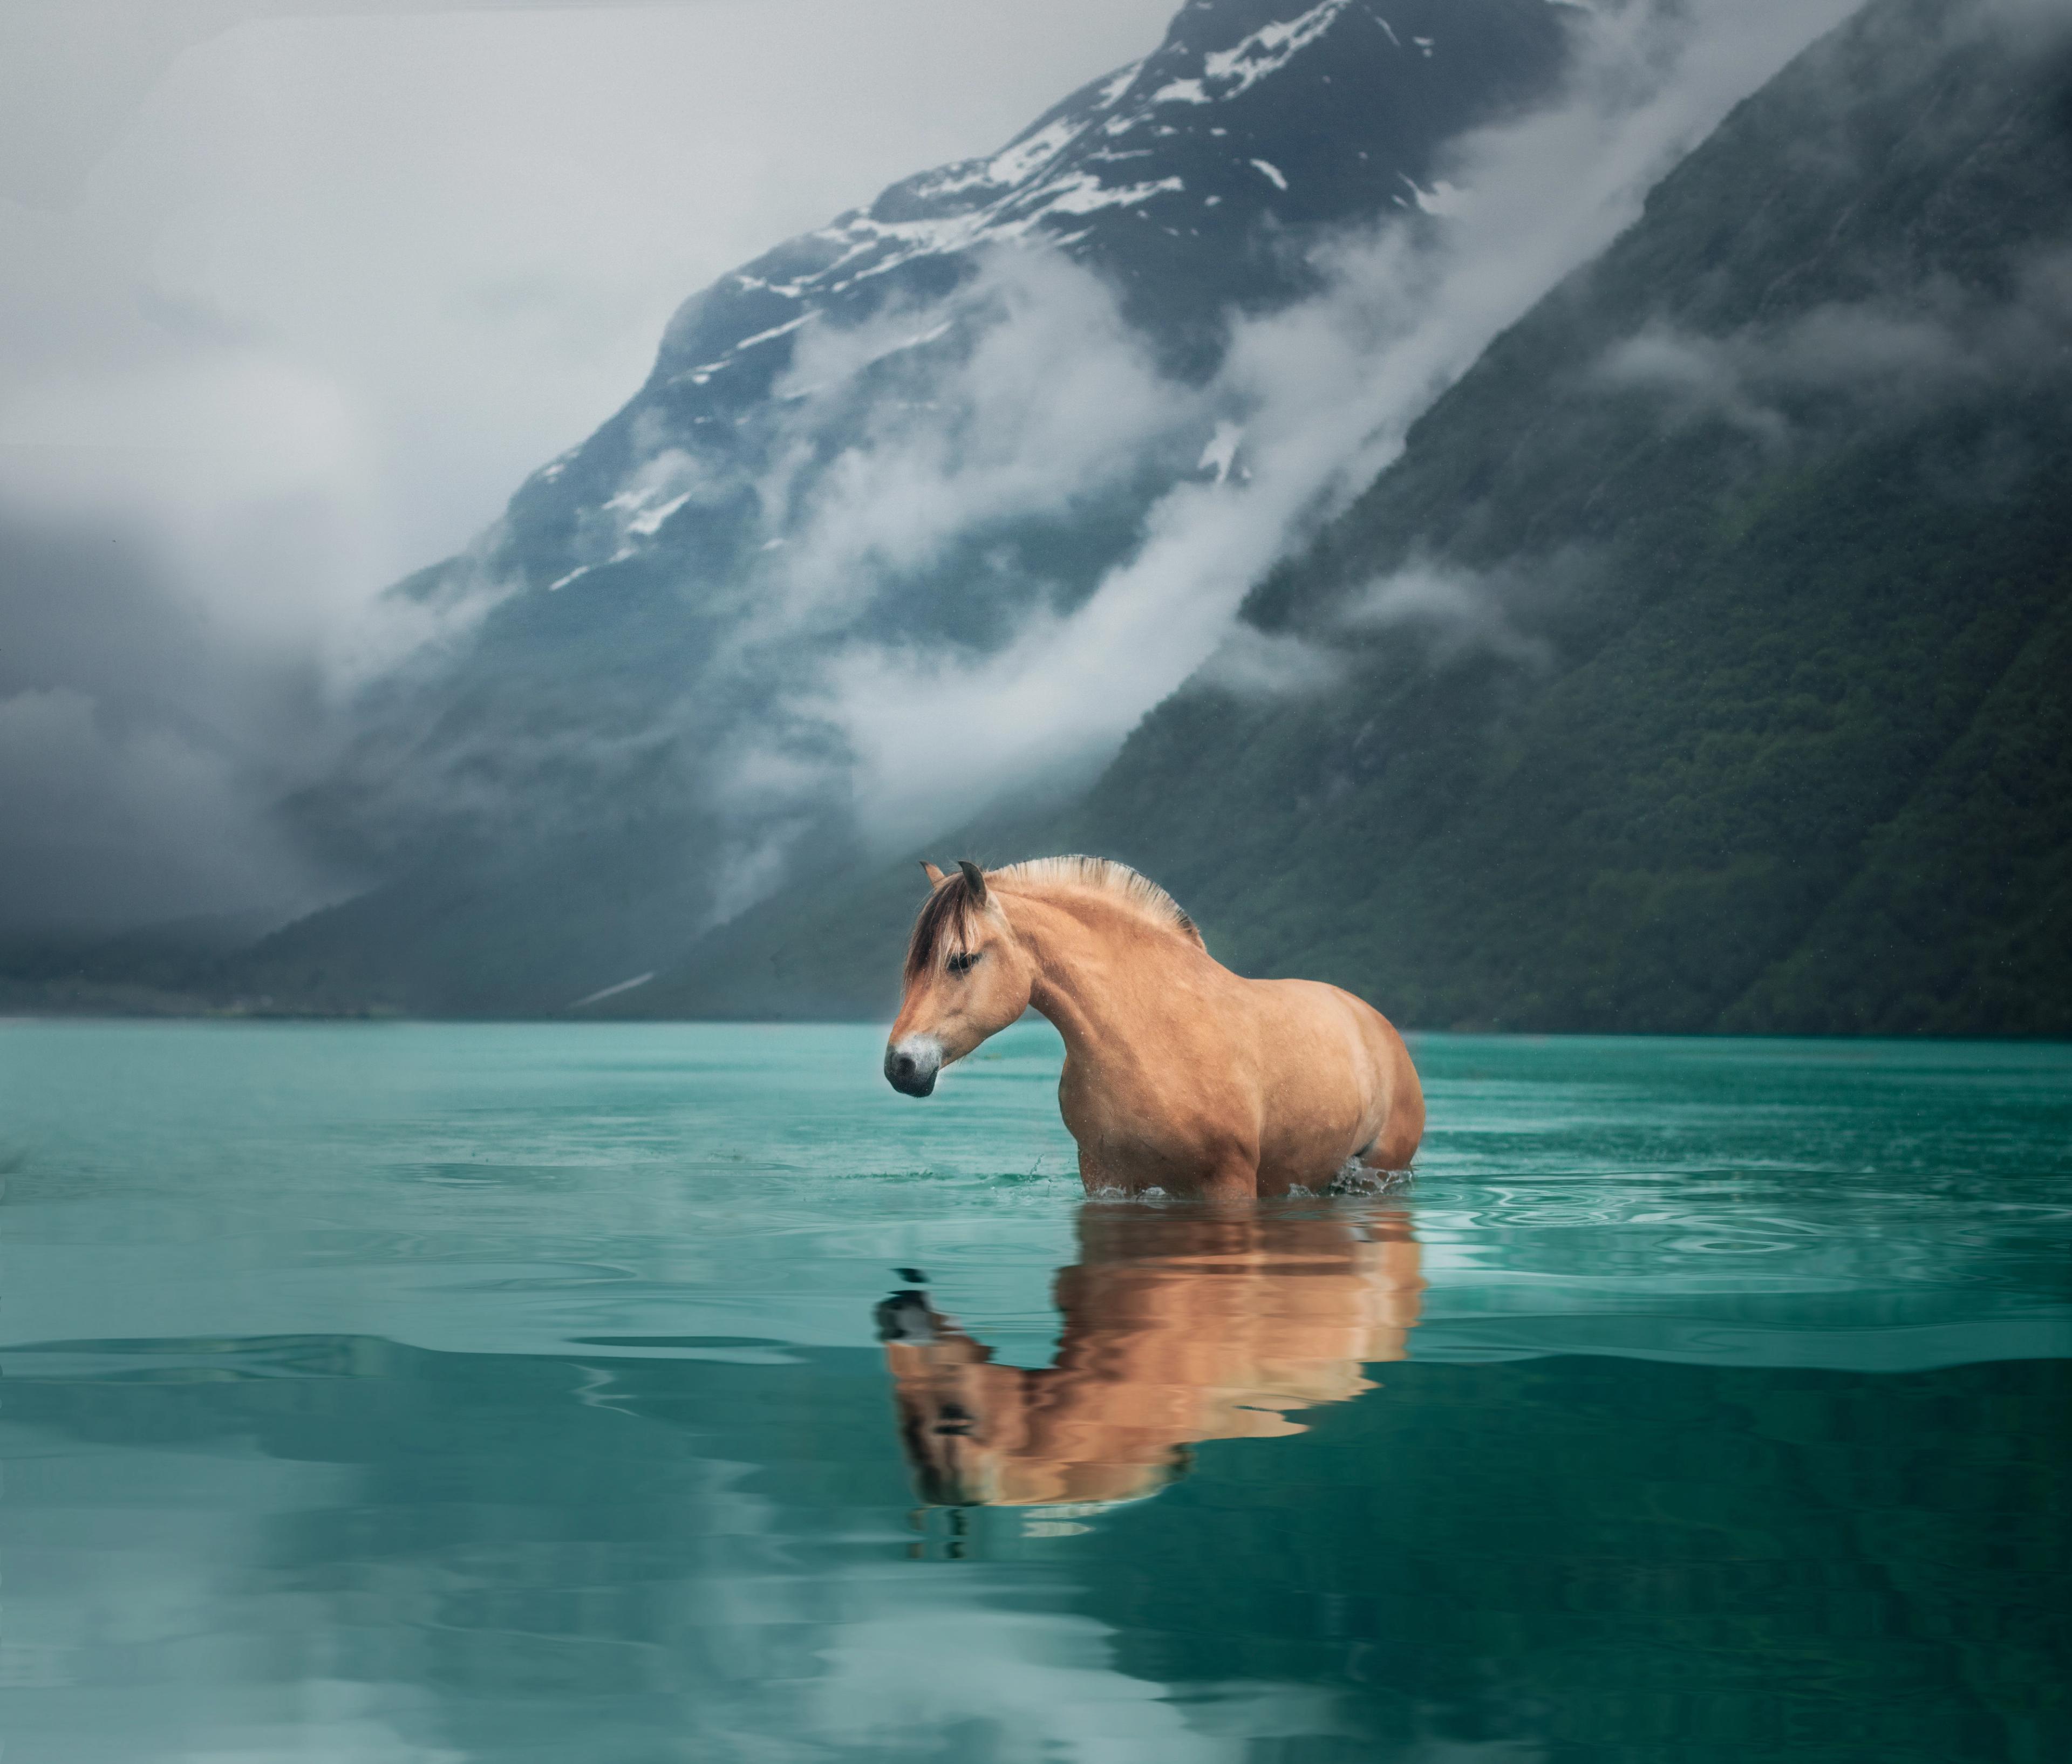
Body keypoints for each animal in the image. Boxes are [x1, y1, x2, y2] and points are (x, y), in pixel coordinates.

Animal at [884, 856, 1423, 1197]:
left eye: (962, 959)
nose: (900, 1066)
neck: (1146, 1036)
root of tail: (1380, 1027)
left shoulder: (1228, 1184)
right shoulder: (1107, 1180)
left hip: (1378, 1171)